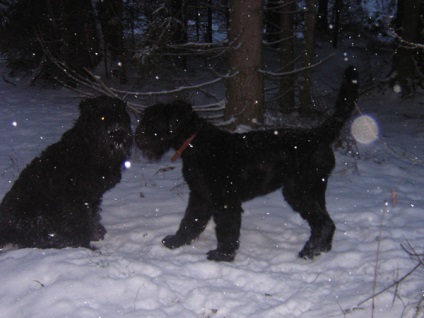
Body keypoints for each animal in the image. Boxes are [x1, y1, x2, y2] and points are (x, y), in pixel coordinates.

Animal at [0, 95, 132, 250]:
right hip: (37, 217)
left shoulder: (91, 197)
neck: (88, 148)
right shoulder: (74, 200)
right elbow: (81, 222)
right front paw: (85, 244)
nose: (117, 131)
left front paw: (95, 234)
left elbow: (92, 216)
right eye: (102, 117)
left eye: (120, 116)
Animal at [137, 66, 360, 260]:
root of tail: (317, 135)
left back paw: (309, 251)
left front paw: (222, 255)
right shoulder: (200, 195)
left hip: (299, 190)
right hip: (314, 190)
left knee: (323, 223)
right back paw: (322, 249)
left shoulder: (225, 200)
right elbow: (190, 221)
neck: (196, 143)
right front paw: (176, 241)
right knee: (327, 222)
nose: (138, 137)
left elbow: (226, 228)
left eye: (153, 121)